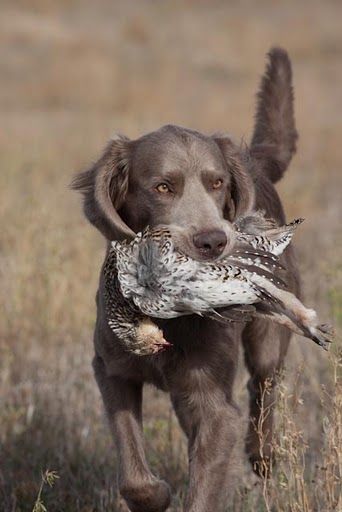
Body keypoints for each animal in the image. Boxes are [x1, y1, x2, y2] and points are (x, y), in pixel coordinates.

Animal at [72, 49, 300, 512]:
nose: (213, 241)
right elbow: (134, 472)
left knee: (265, 385)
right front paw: (156, 495)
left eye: (217, 183)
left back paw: (263, 454)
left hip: (269, 338)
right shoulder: (112, 370)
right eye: (162, 187)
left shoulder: (216, 409)